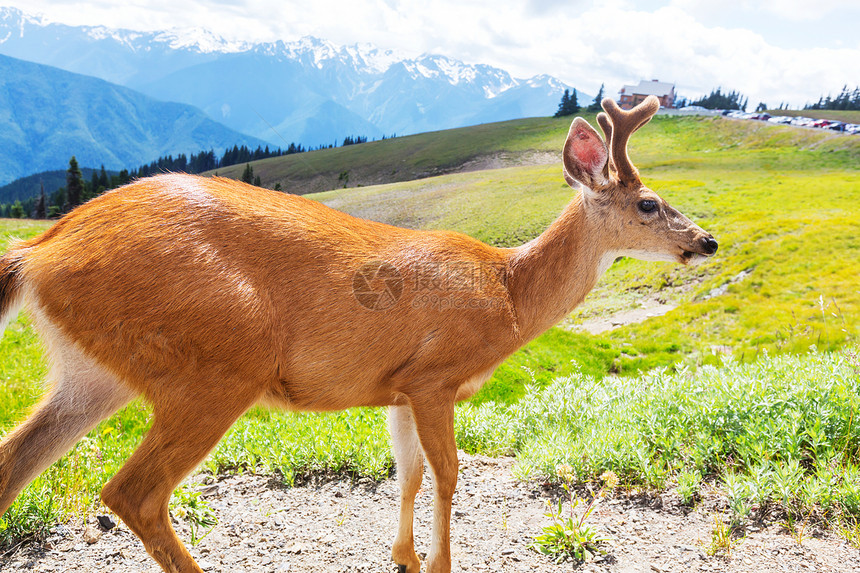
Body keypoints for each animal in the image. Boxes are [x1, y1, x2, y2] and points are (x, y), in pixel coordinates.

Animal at [0, 96, 712, 568]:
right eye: (648, 203)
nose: (706, 241)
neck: (509, 293)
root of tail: (39, 253)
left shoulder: (395, 389)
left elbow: (409, 475)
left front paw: (402, 557)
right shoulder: (435, 376)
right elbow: (449, 474)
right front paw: (439, 563)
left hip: (95, 372)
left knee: (16, 463)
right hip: (217, 362)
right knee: (134, 492)